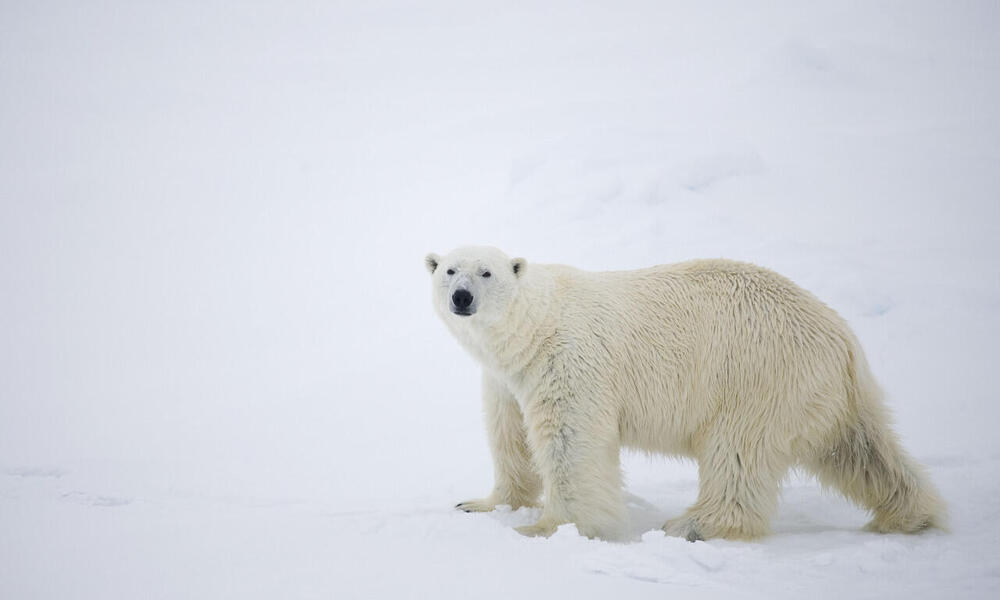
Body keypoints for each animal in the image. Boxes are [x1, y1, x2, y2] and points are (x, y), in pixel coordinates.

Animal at [424, 246, 944, 540]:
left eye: (487, 273)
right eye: (448, 270)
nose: (461, 297)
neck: (536, 325)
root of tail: (844, 341)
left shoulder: (570, 361)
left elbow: (570, 443)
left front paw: (550, 528)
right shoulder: (507, 378)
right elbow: (509, 437)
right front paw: (481, 504)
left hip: (756, 377)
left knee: (737, 454)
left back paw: (692, 525)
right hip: (823, 395)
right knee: (862, 450)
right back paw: (910, 515)